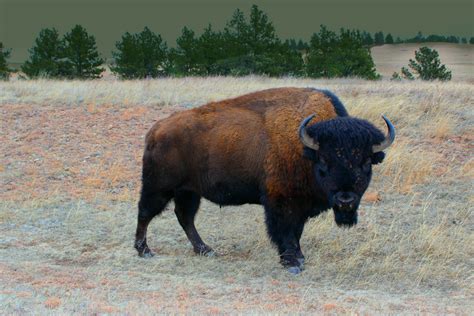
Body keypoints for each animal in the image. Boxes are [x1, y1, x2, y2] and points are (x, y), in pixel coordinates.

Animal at [135, 87, 394, 272]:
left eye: (366, 163)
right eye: (323, 162)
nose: (345, 200)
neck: (305, 150)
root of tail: (156, 130)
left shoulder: (299, 206)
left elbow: (297, 231)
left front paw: (298, 258)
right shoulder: (281, 201)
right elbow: (286, 231)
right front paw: (292, 263)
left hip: (189, 191)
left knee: (184, 217)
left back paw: (205, 250)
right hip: (159, 187)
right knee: (146, 212)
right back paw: (144, 250)